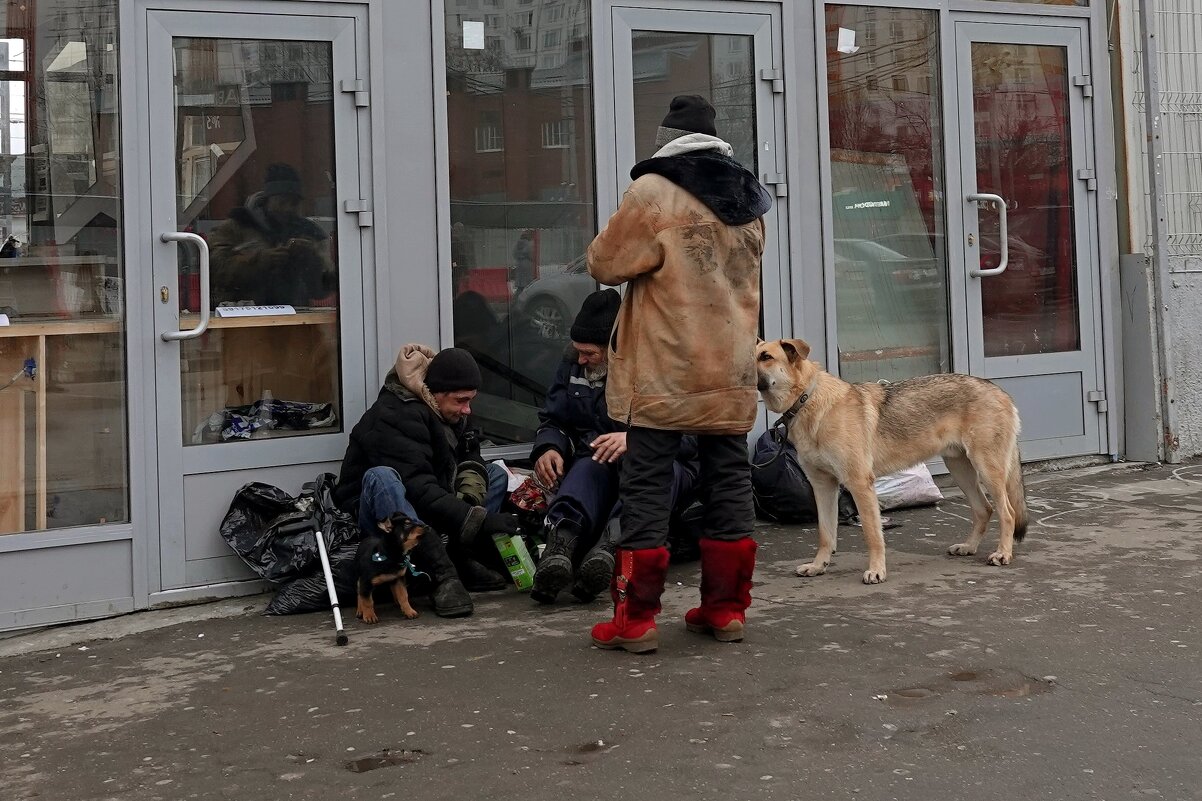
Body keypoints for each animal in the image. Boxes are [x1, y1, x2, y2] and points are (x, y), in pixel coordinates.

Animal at [754, 334, 1028, 584]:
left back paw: (1003, 554)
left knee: (1007, 512)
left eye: (766, 357)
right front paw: (818, 566)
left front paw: (876, 570)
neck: (808, 400)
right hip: (961, 470)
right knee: (984, 509)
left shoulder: (860, 485)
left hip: (987, 470)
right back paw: (969, 547)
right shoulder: (823, 487)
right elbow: (825, 533)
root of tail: (999, 390)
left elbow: (872, 534)